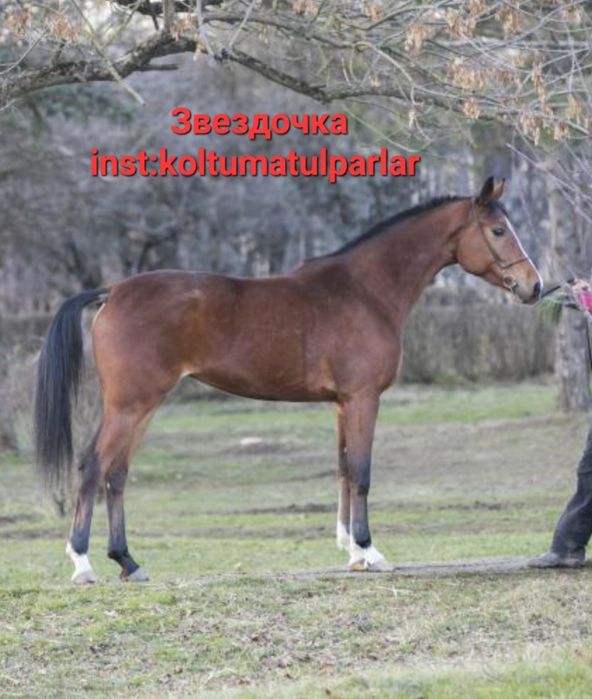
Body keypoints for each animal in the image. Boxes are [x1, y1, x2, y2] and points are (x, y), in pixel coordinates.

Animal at [34, 176, 542, 583]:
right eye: (498, 230)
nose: (535, 286)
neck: (365, 291)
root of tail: (112, 291)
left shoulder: (341, 404)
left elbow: (342, 470)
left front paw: (351, 552)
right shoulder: (363, 399)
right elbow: (362, 473)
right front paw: (370, 552)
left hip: (142, 406)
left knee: (116, 474)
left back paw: (128, 562)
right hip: (130, 404)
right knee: (93, 467)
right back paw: (83, 564)